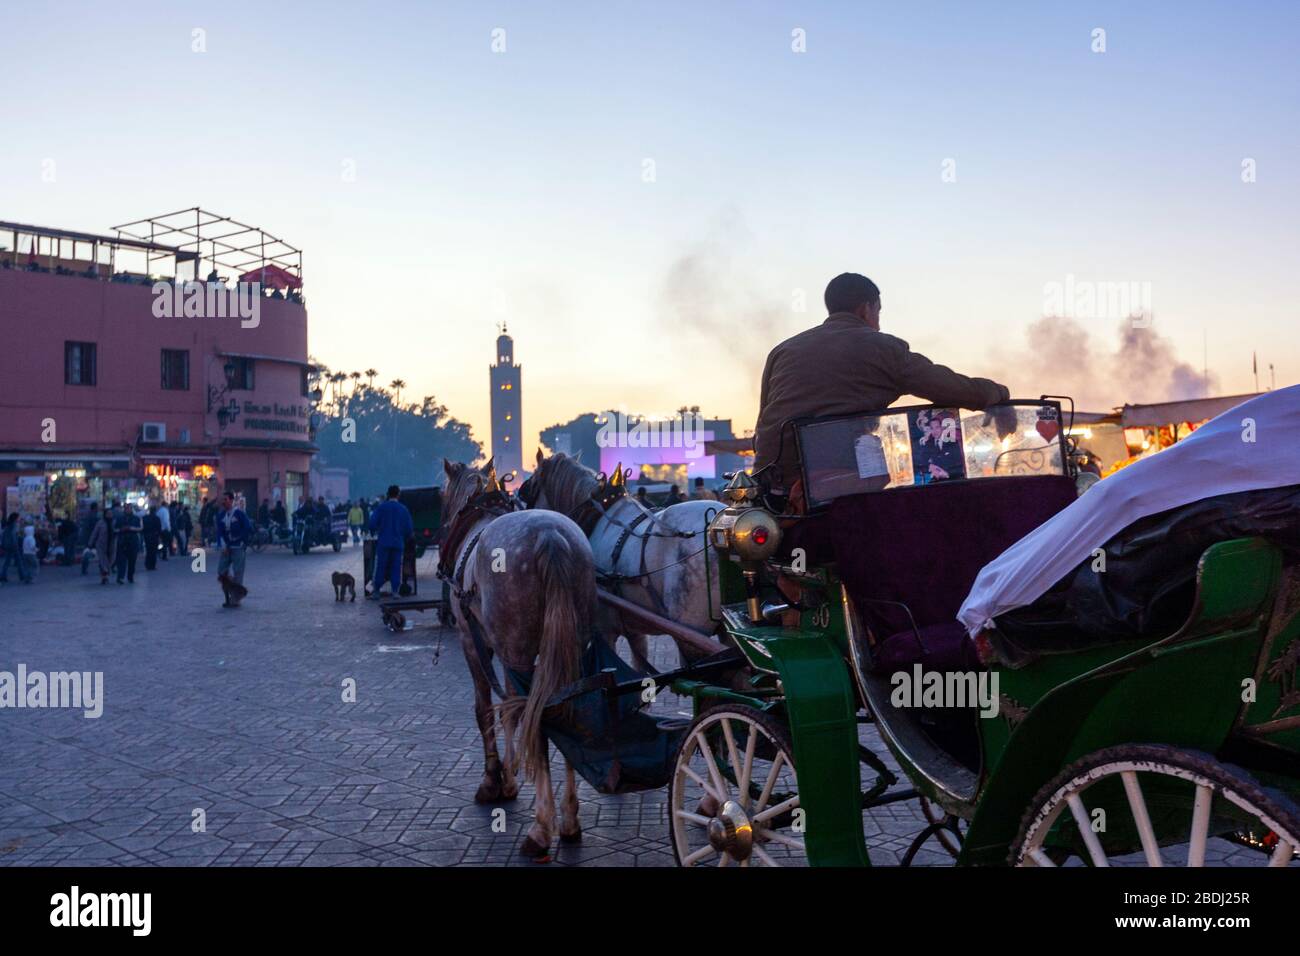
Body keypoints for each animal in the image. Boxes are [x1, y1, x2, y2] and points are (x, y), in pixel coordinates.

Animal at [439, 457, 595, 858]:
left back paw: (541, 829)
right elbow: (509, 707)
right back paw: (569, 820)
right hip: (571, 640)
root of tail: (550, 538)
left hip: (516, 643)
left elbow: (486, 708)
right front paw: (509, 777)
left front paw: (494, 779)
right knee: (565, 708)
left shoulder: (472, 638)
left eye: (442, 496)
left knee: (535, 714)